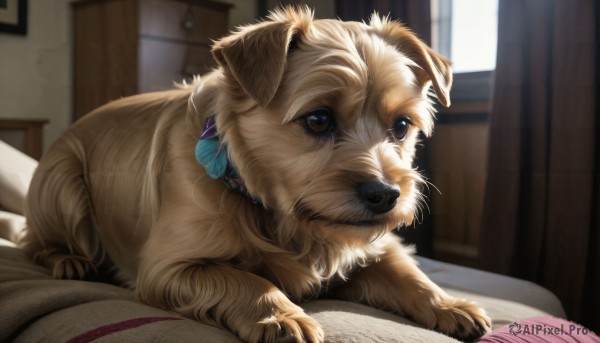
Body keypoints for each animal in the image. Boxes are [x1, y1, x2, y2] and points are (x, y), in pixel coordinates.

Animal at [22, 6, 492, 343]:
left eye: (401, 126)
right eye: (318, 119)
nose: (386, 194)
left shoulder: (377, 245)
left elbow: (410, 273)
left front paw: (450, 305)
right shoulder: (167, 268)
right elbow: (243, 277)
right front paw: (280, 313)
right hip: (63, 183)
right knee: (36, 241)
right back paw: (67, 259)